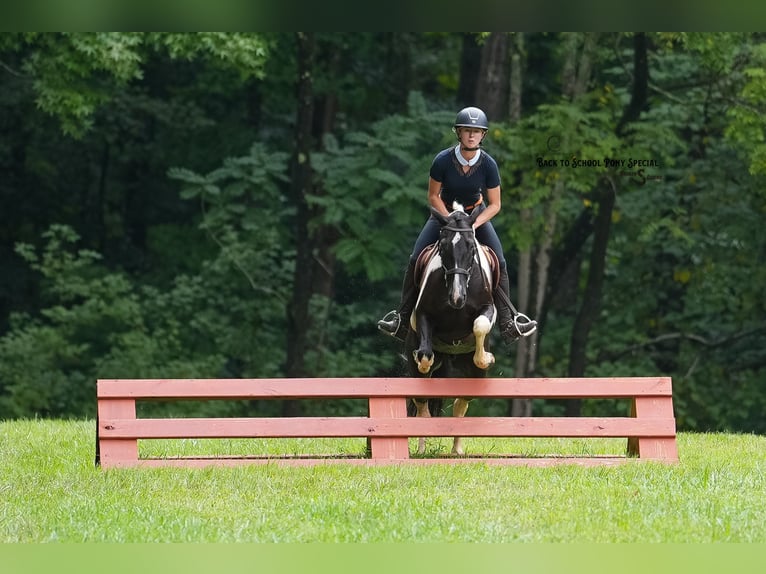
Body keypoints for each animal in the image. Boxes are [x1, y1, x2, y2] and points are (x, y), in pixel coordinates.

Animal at [405, 203, 499, 456]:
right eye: (443, 246)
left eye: (471, 247)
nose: (457, 298)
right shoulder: (423, 315)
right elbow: (425, 357)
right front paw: (422, 357)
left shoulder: (488, 308)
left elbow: (480, 325)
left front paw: (486, 357)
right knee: (423, 404)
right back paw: (422, 448)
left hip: (474, 377)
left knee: (461, 401)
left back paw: (457, 450)